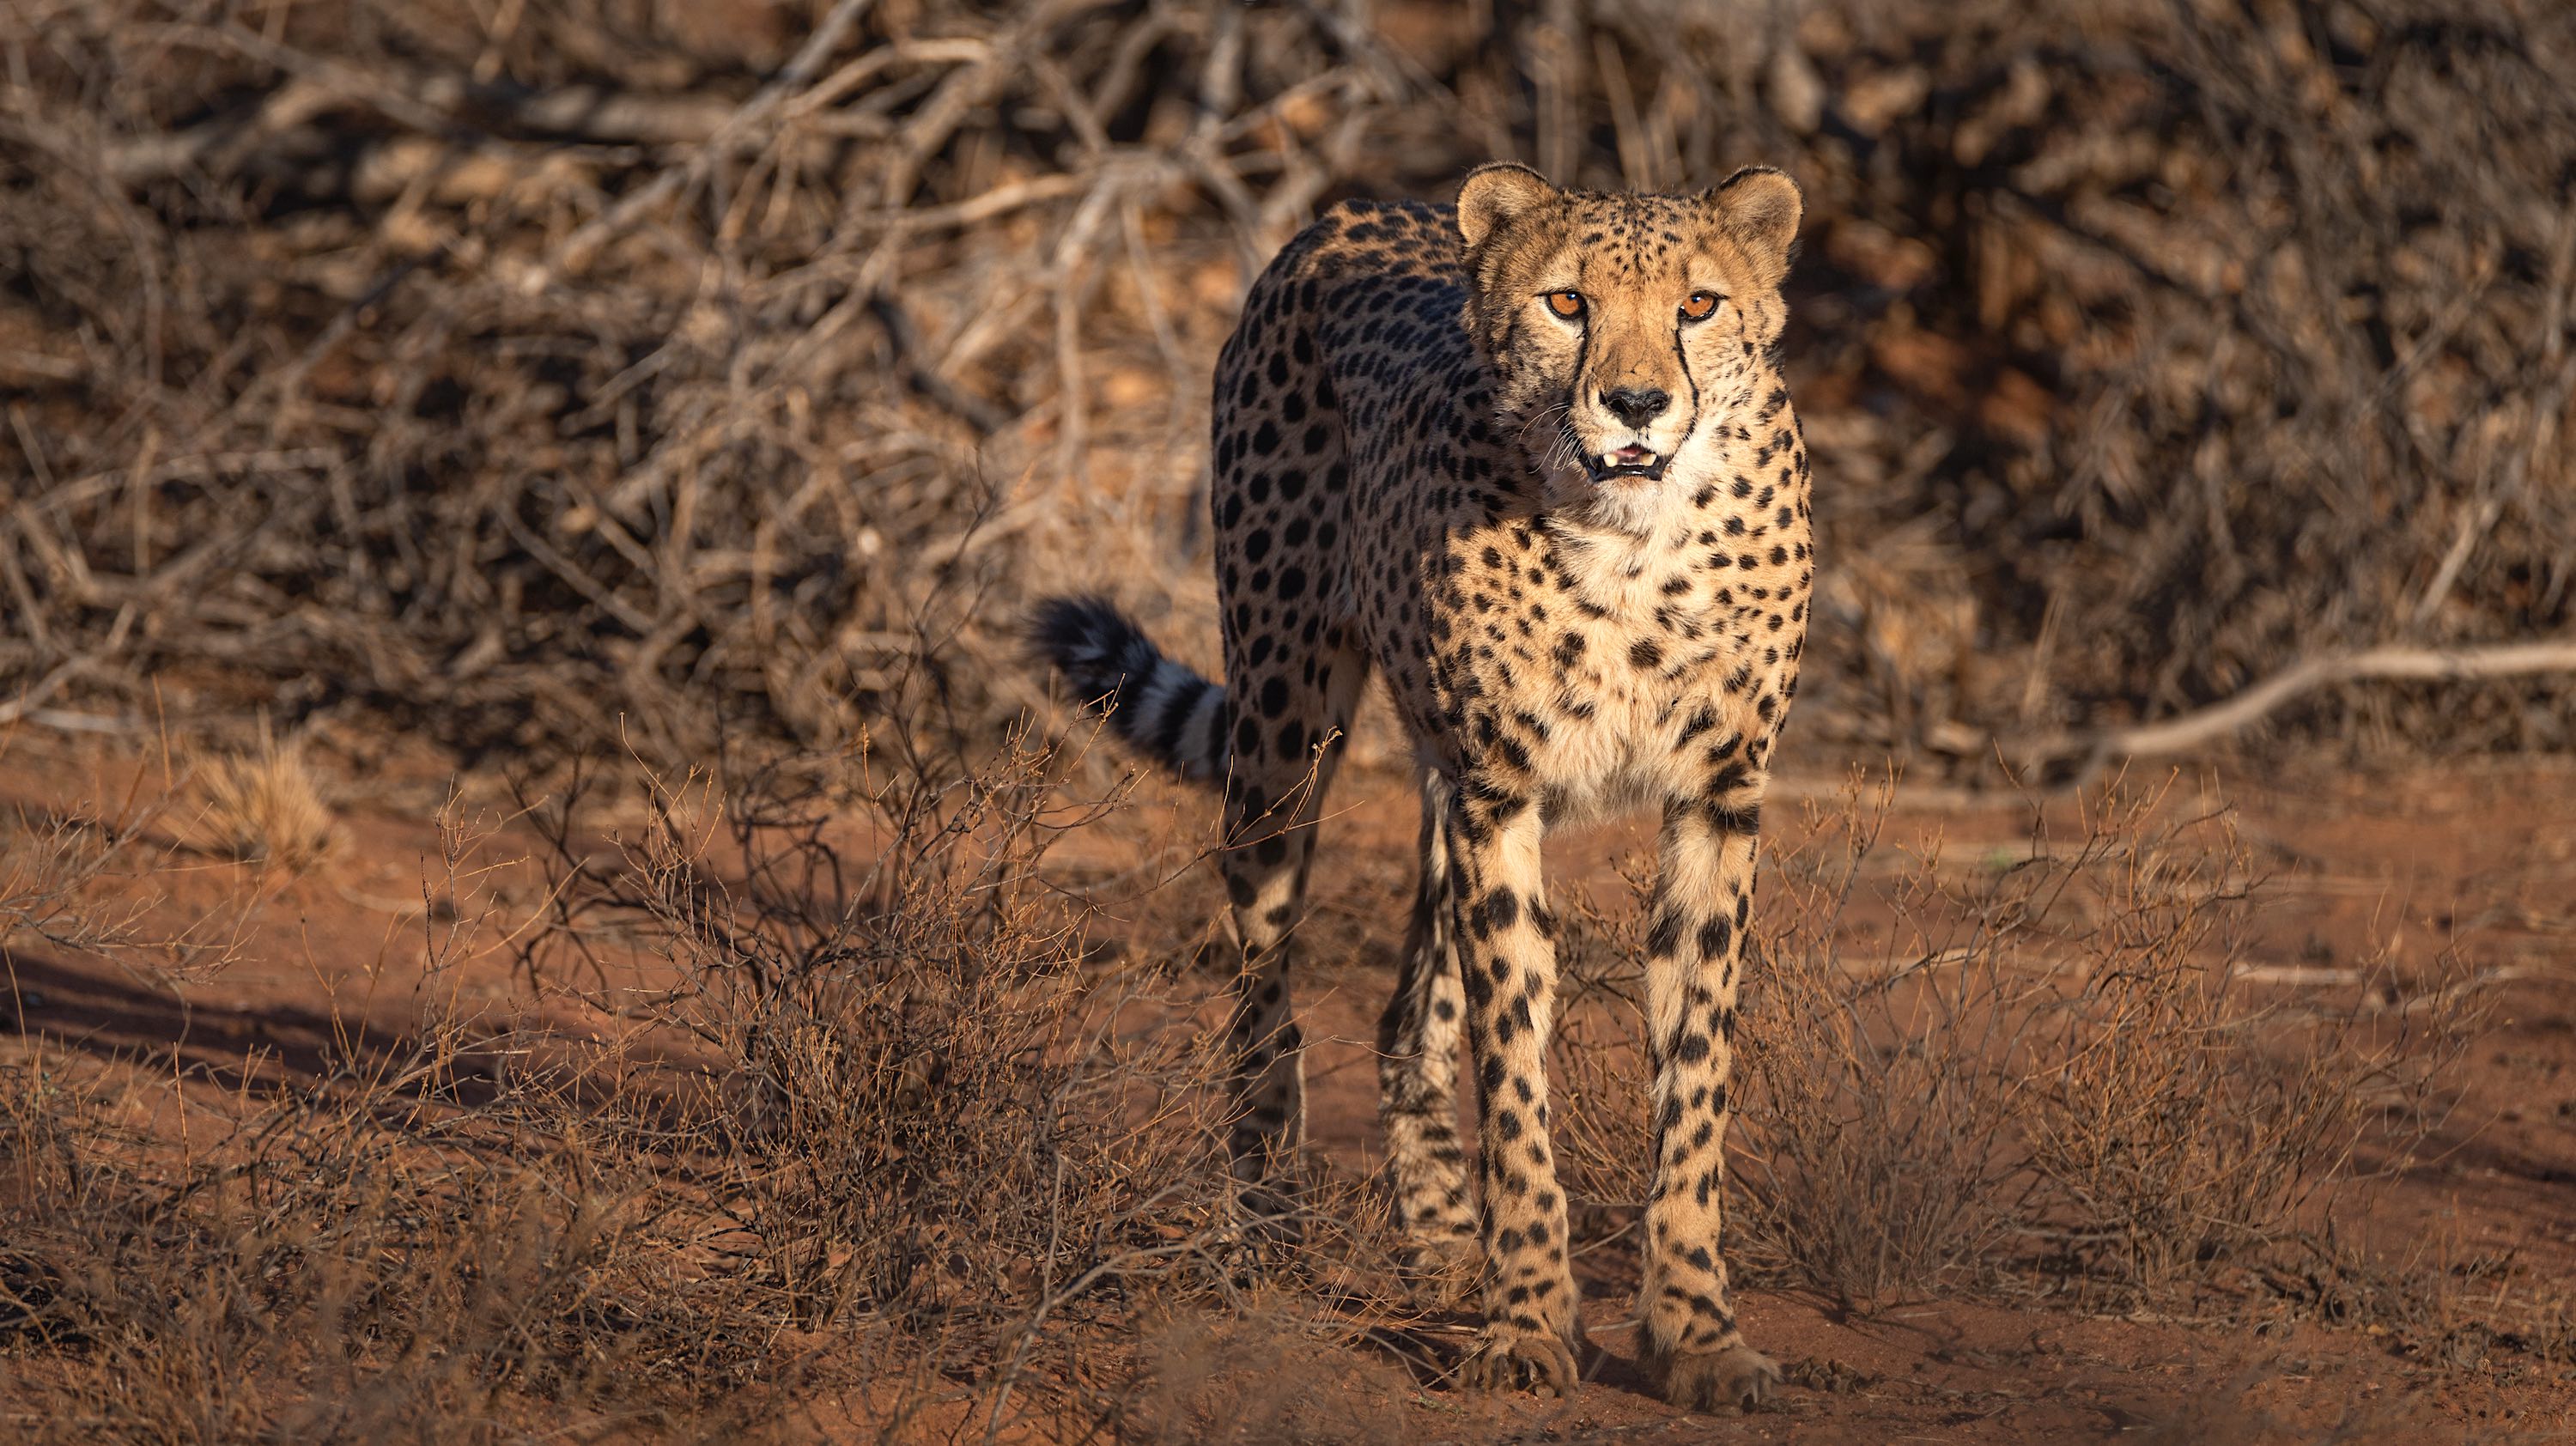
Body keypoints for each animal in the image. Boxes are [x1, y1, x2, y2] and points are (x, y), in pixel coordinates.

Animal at [1030, 160, 1814, 1412]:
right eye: (1566, 304)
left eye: (1698, 305)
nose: (1638, 403)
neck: (1632, 539)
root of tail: (1359, 212)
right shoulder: (1502, 792)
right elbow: (1515, 1069)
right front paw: (1530, 1318)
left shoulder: (1715, 798)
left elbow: (1694, 1078)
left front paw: (1695, 1329)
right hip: (1286, 727)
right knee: (1265, 996)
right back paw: (1270, 1217)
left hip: (1437, 785)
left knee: (1407, 1011)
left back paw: (1443, 1239)